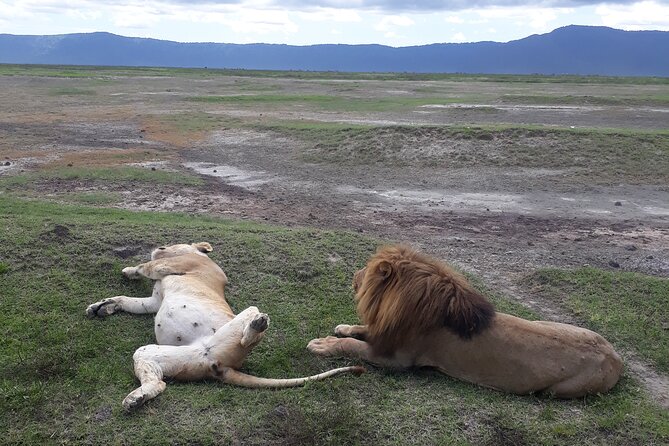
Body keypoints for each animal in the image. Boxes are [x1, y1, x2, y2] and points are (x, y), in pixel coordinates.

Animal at [87, 242, 366, 410]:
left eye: (174, 244)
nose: (161, 245)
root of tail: (222, 366)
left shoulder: (175, 265)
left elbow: (146, 265)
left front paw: (128, 270)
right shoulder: (155, 300)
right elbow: (129, 300)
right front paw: (103, 306)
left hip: (246, 314)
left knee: (250, 333)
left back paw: (258, 324)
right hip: (153, 354)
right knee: (159, 383)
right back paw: (137, 398)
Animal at [308, 247, 620, 398]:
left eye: (368, 270)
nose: (354, 274)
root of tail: (615, 357)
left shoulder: (396, 359)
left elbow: (353, 345)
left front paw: (324, 344)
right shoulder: (385, 333)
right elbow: (359, 331)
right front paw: (343, 328)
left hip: (559, 390)